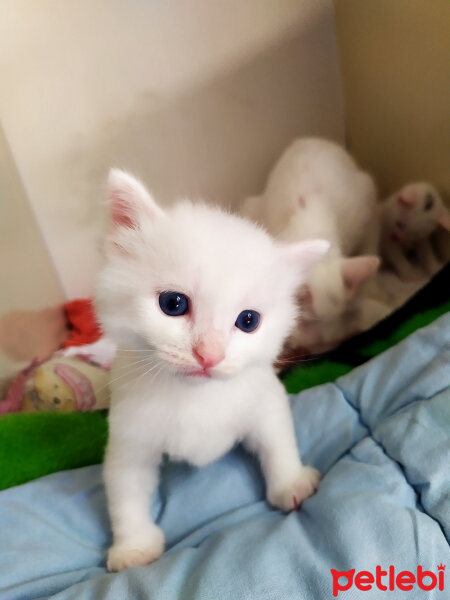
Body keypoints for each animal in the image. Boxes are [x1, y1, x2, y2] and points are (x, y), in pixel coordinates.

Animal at [95, 169, 328, 572]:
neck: (195, 397)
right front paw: (133, 546)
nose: (209, 355)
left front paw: (291, 482)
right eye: (173, 303)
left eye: (248, 321)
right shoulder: (129, 432)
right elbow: (124, 488)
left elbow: (277, 439)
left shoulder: (263, 398)